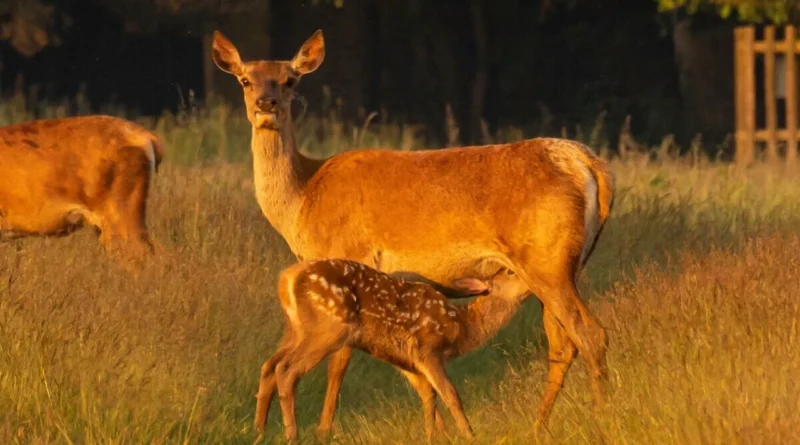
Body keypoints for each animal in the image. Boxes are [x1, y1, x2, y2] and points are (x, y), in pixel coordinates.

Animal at [256, 258, 532, 442]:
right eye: (510, 271)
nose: (533, 278)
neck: (462, 325)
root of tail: (287, 279)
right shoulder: (428, 349)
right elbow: (450, 394)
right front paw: (469, 434)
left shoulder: (407, 360)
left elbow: (428, 396)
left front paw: (431, 436)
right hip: (330, 328)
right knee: (287, 370)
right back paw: (292, 435)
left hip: (296, 331)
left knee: (269, 365)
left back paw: (259, 431)